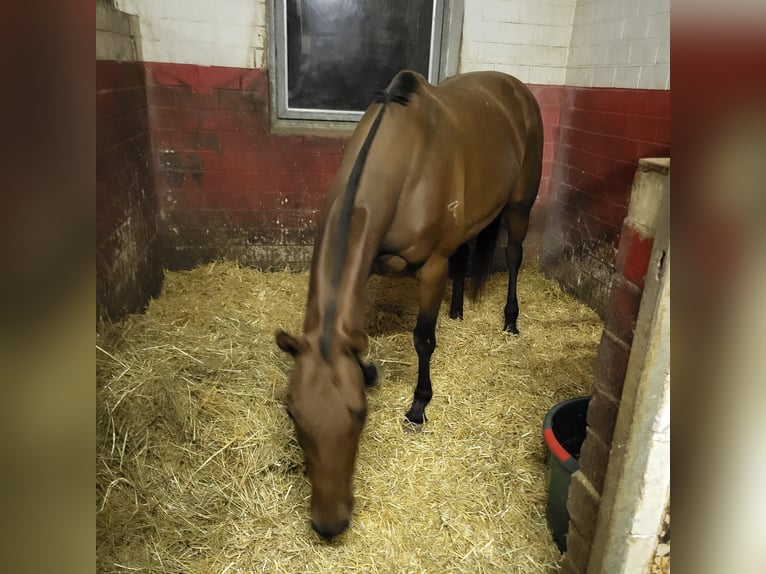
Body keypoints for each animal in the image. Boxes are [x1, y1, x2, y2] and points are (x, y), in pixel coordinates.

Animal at [276, 70, 543, 539]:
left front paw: (419, 407)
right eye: (293, 415)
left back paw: (510, 321)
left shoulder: (431, 269)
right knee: (465, 255)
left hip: (519, 205)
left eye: (360, 414)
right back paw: (458, 311)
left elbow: (423, 339)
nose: (329, 524)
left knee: (512, 255)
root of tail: (517, 89)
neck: (403, 162)